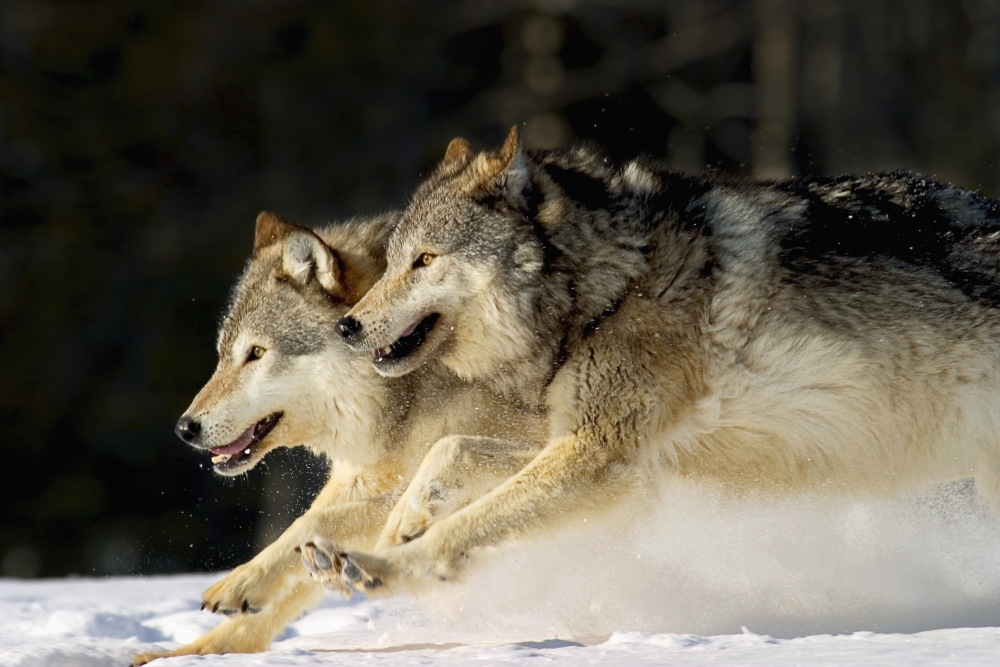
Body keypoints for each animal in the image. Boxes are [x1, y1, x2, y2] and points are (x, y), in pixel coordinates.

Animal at [133, 211, 545, 665]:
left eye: (256, 353)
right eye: (224, 356)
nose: (184, 428)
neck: (404, 394)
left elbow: (317, 520)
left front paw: (242, 582)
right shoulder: (357, 478)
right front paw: (189, 652)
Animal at [301, 126, 1000, 599]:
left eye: (424, 260)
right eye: (393, 261)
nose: (347, 325)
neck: (611, 286)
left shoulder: (598, 455)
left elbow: (464, 528)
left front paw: (384, 565)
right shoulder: (625, 464)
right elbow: (449, 452)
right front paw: (401, 524)